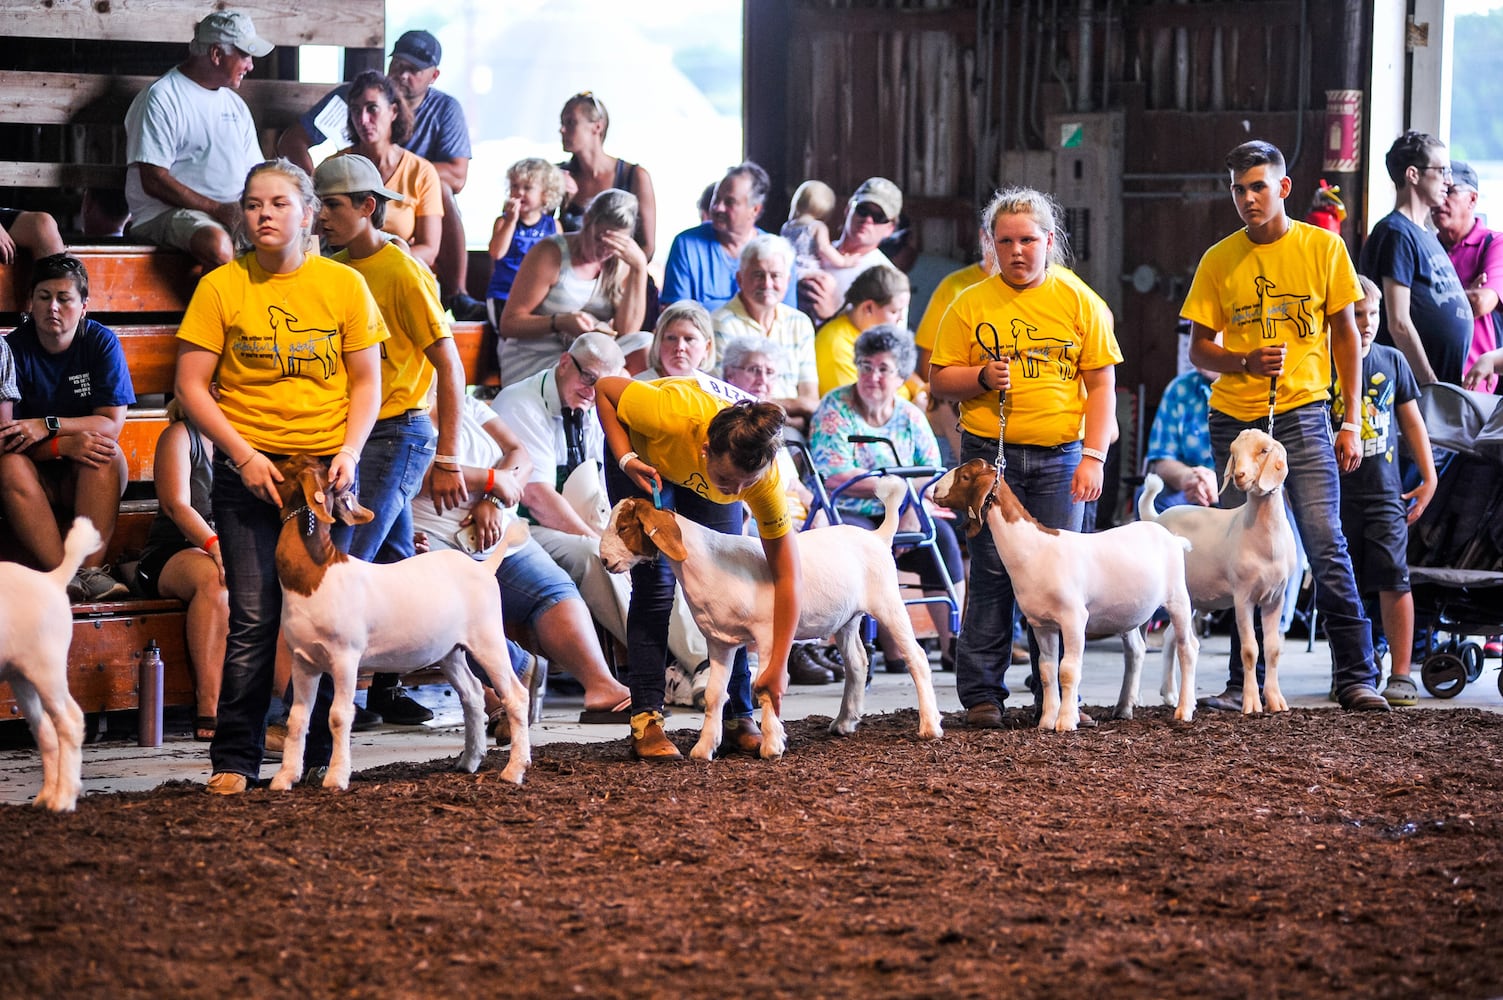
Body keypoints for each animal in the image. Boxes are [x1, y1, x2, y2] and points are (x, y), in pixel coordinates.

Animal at [0, 517, 99, 806]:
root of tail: (52, 579)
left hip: (48, 669)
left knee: (69, 721)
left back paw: (63, 800)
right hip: (20, 677)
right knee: (45, 730)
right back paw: (46, 796)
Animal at [276, 451, 535, 787]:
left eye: (291, 464)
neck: (317, 574)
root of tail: (484, 567)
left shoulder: (345, 657)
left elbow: (339, 715)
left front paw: (336, 778)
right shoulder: (303, 660)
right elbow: (298, 718)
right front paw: (284, 778)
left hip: (488, 638)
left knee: (515, 695)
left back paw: (514, 769)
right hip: (450, 651)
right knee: (472, 694)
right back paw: (468, 761)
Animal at [598, 475, 937, 757]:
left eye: (624, 527)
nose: (604, 560)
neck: (706, 560)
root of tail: (878, 536)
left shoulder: (768, 633)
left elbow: (764, 685)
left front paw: (772, 746)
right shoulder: (719, 641)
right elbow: (714, 694)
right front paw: (704, 748)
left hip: (888, 601)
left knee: (916, 657)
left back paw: (929, 726)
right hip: (847, 618)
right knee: (857, 663)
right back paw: (843, 722)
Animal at [925, 457, 1196, 730]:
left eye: (965, 477)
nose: (934, 491)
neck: (1034, 548)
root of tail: (1173, 538)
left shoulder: (1074, 618)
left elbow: (1067, 669)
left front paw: (1066, 721)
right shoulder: (1041, 624)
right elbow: (1046, 670)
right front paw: (1046, 721)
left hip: (1178, 599)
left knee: (1187, 648)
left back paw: (1184, 709)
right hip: (1128, 612)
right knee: (1136, 652)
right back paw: (1124, 708)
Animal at [1130, 424, 1298, 712]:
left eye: (1264, 450)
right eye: (1234, 452)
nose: (1240, 475)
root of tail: (1157, 518)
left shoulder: (1275, 598)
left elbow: (1272, 649)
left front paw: (1276, 701)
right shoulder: (1243, 597)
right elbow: (1250, 649)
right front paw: (1251, 703)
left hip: (1187, 597)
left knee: (1172, 639)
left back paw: (1170, 695)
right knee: (1144, 640)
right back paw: (1137, 697)